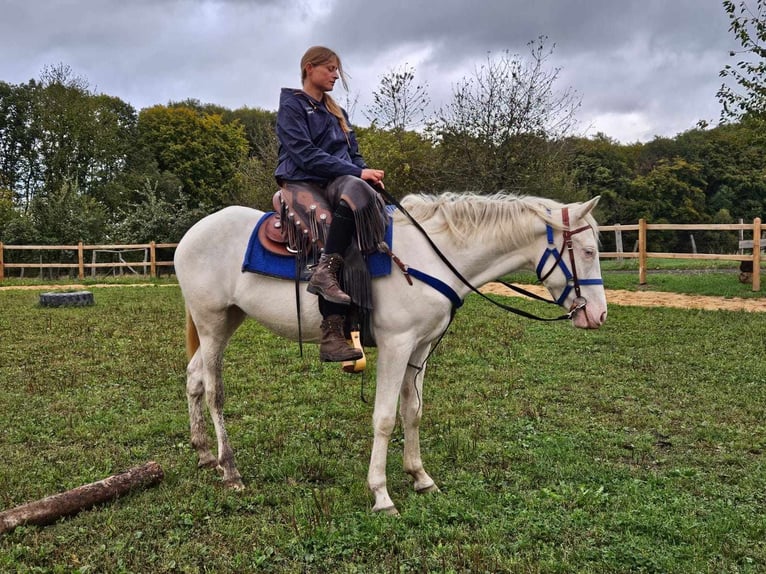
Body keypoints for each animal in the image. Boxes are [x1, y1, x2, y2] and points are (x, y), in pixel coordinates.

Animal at [172, 191, 608, 516]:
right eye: (587, 252)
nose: (599, 315)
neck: (431, 258)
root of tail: (190, 234)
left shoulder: (421, 346)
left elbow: (412, 411)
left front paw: (420, 477)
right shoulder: (396, 345)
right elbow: (383, 418)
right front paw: (381, 494)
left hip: (228, 320)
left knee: (193, 378)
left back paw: (204, 454)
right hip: (212, 323)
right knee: (214, 391)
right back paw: (230, 469)